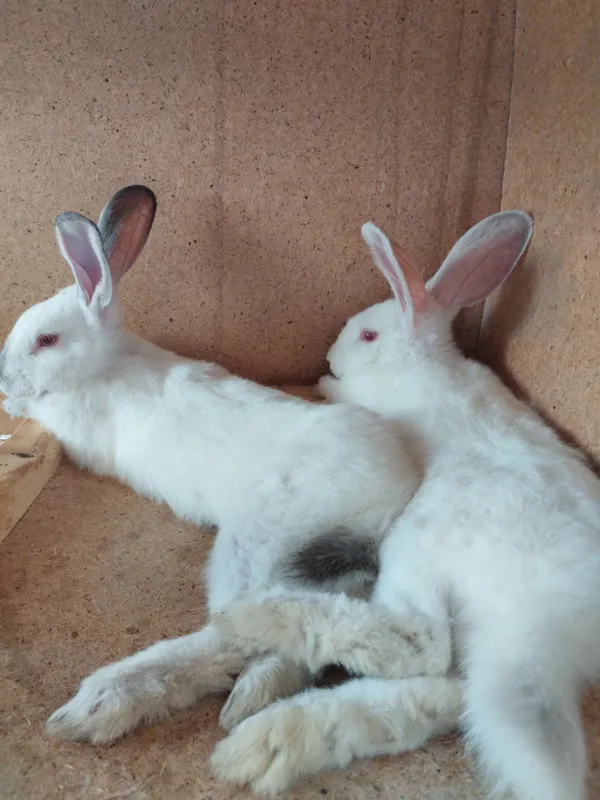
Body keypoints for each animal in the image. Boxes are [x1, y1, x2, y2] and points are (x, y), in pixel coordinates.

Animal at [0, 185, 427, 747]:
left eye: (46, 340)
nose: (4, 380)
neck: (106, 364)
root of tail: (396, 494)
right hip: (314, 559)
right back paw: (257, 691)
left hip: (257, 540)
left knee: (234, 633)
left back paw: (101, 704)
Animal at [211, 212, 600, 800]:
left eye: (368, 334)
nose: (329, 358)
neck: (422, 360)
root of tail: (546, 627)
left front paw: (325, 382)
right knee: (442, 684)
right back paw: (271, 738)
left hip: (415, 548)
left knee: (421, 643)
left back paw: (260, 618)